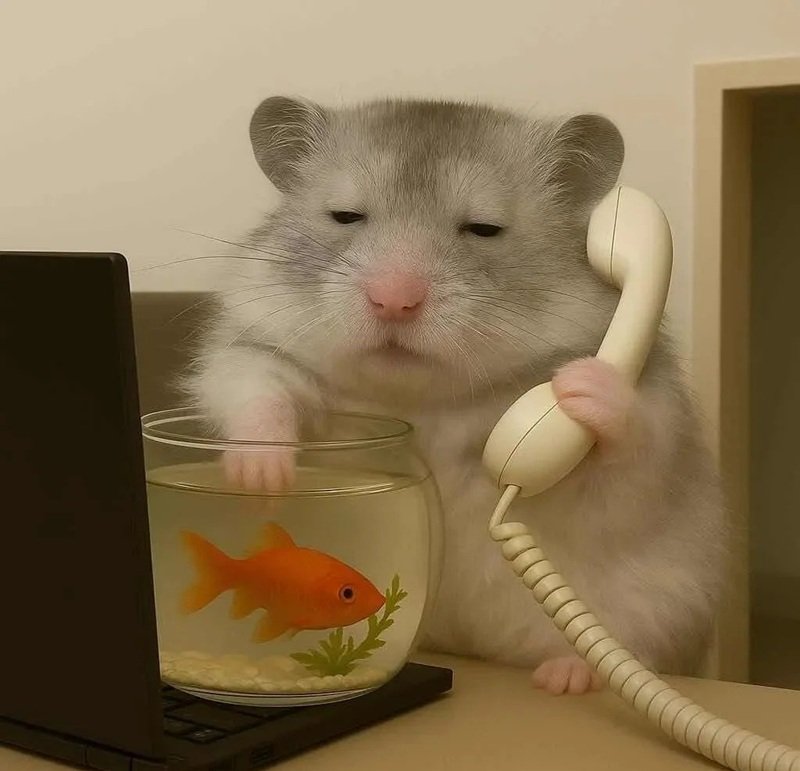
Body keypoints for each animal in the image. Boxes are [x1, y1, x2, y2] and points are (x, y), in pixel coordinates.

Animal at [182, 96, 728, 695]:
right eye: (345, 216)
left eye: (483, 229)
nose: (393, 301)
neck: (421, 400)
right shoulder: (249, 351)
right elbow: (259, 389)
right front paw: (262, 483)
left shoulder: (636, 455)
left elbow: (630, 451)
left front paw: (578, 385)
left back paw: (566, 676)